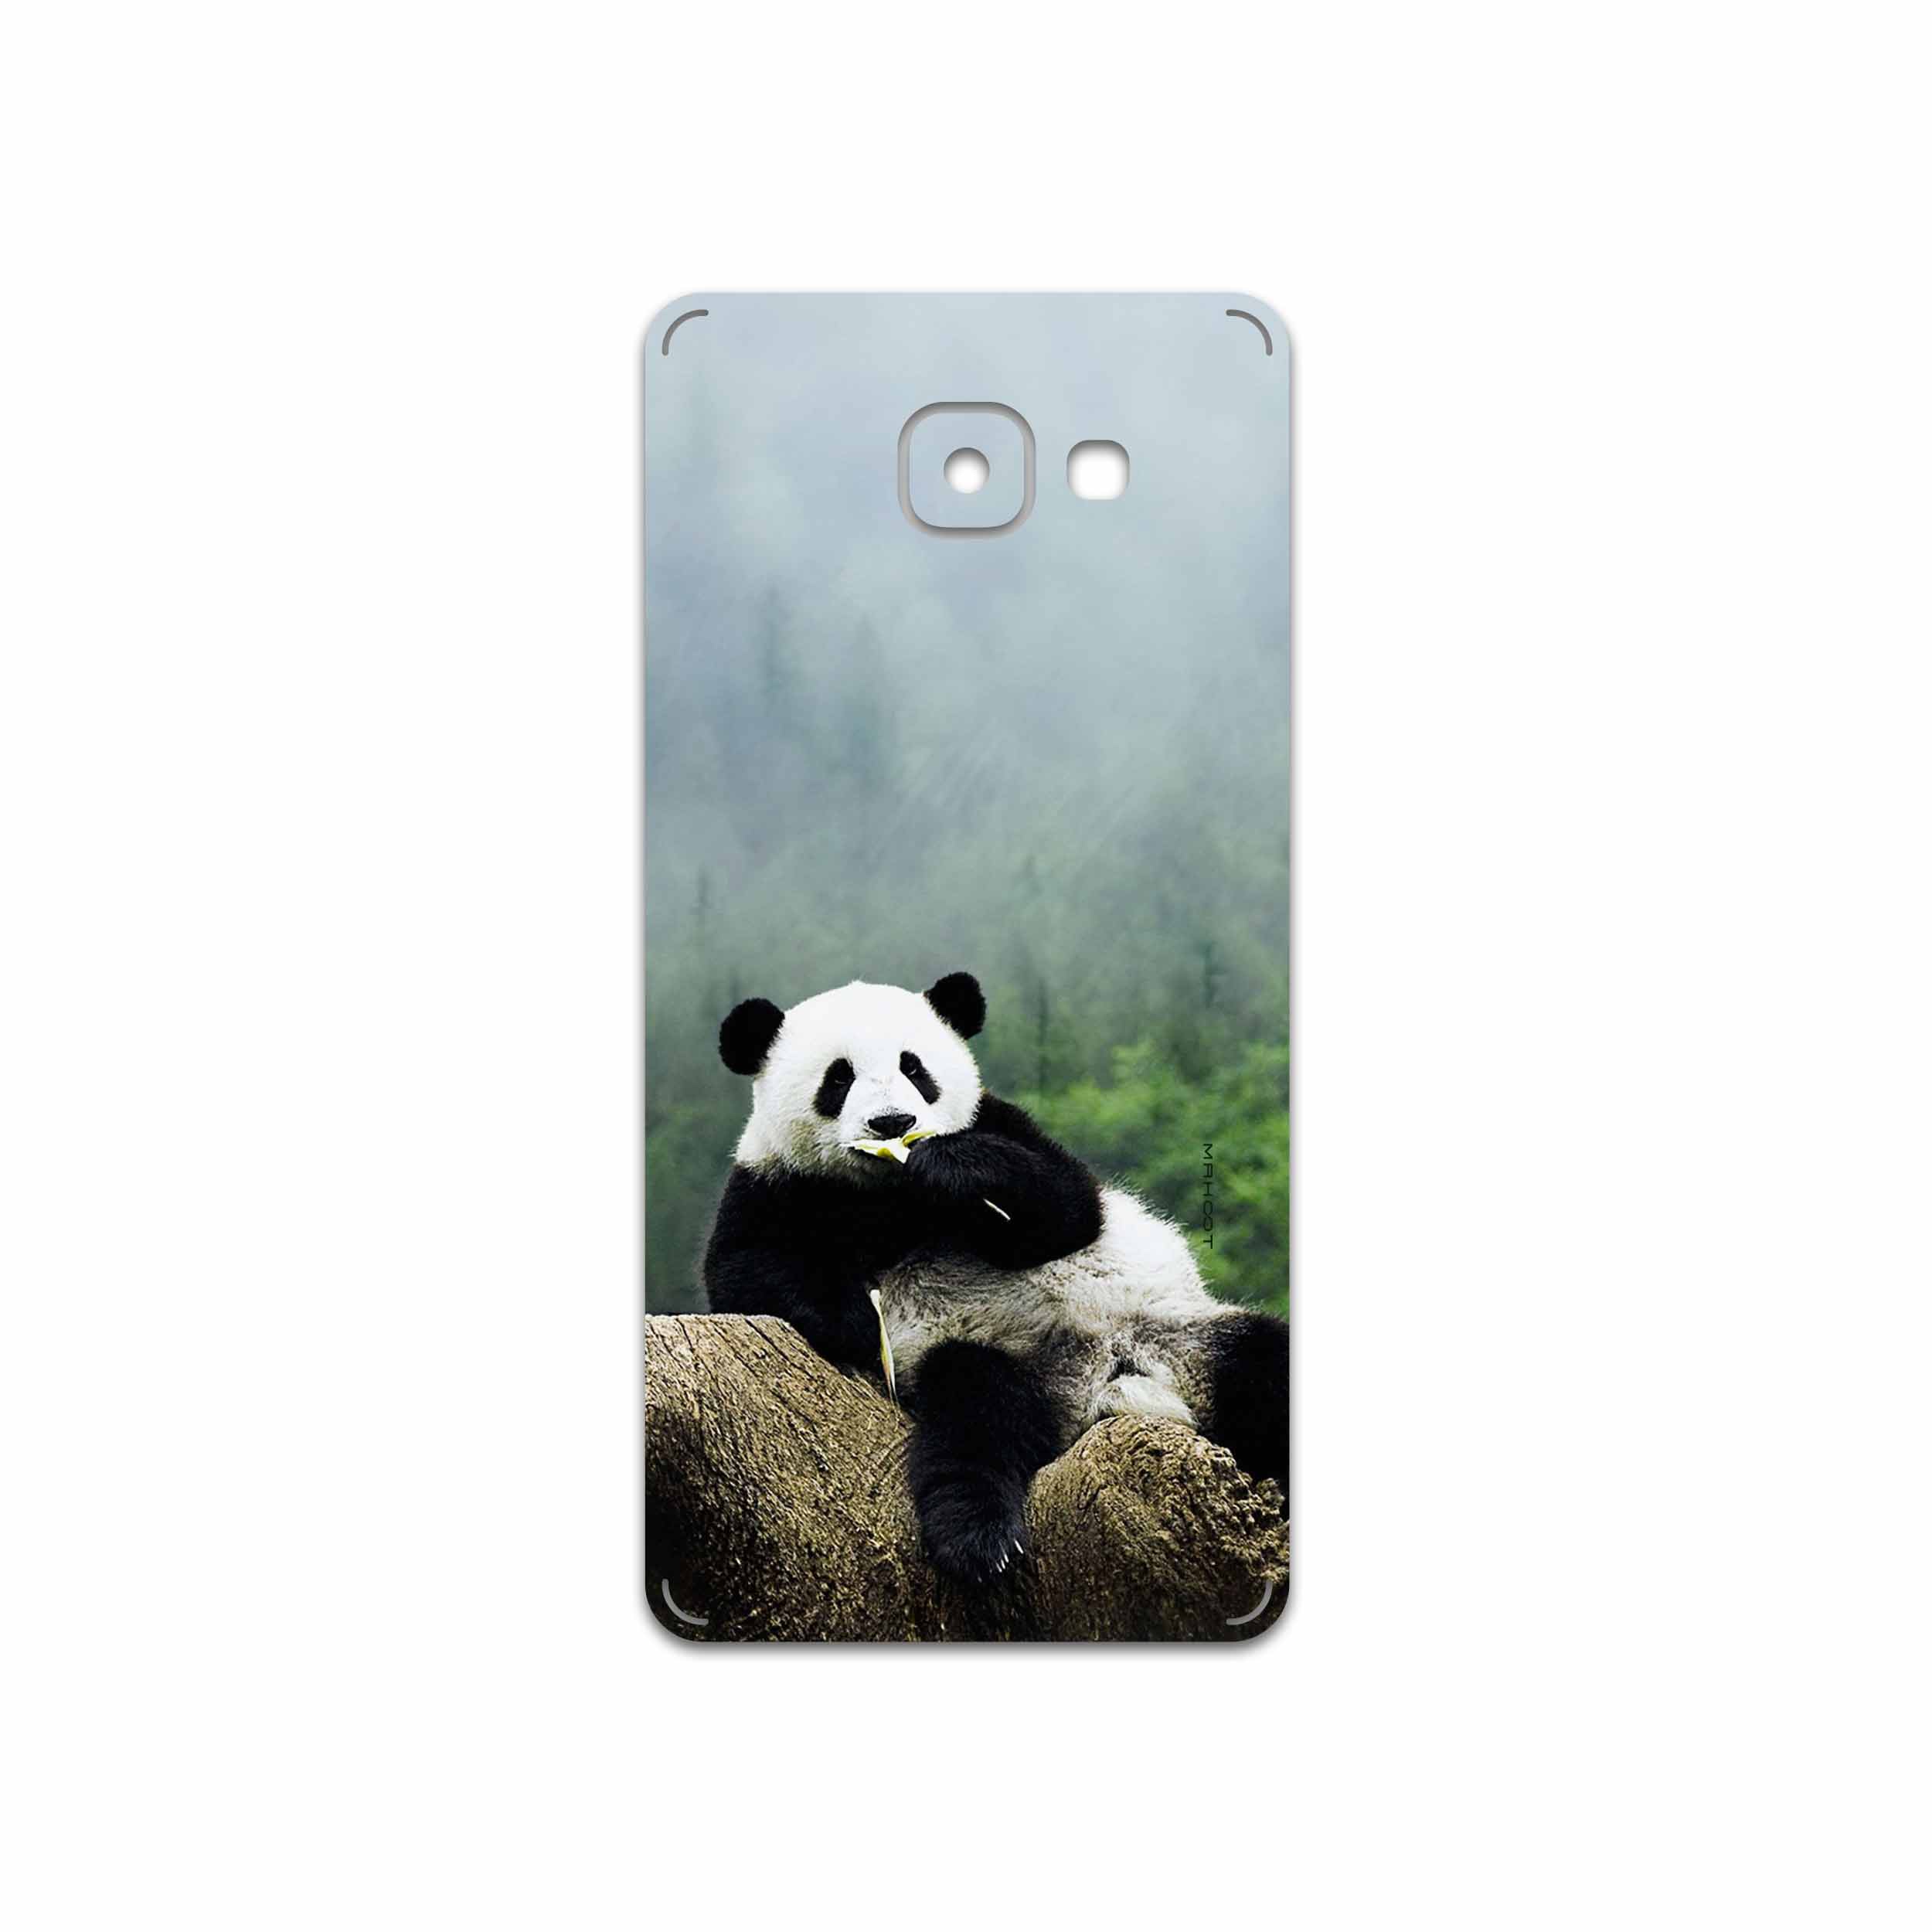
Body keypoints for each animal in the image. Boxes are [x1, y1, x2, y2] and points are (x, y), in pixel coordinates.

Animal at [703, 971, 1289, 1583]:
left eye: (915, 1069)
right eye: (839, 1077)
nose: (893, 1123)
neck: (888, 1194)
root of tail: (1104, 1386)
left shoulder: (1000, 1123)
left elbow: (1068, 1208)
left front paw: (949, 1168)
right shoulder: (774, 1184)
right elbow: (745, 1270)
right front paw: (858, 1321)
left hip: (1180, 1334)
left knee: (1263, 1364)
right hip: (992, 1359)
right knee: (975, 1421)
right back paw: (981, 1541)